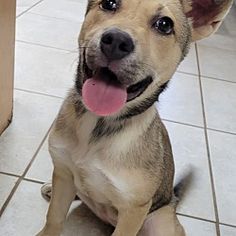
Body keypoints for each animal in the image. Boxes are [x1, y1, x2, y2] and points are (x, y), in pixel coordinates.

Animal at [36, 0, 232, 235]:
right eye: (109, 3)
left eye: (165, 25)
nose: (116, 41)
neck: (100, 124)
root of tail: (173, 200)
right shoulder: (63, 171)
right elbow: (54, 217)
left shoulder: (133, 210)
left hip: (159, 221)